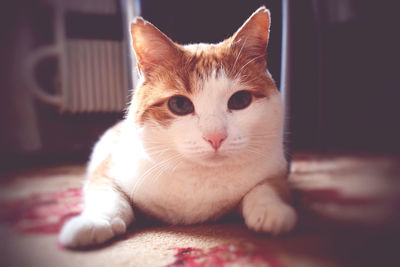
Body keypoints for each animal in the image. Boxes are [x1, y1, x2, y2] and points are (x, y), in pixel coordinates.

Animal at [59, 6, 296, 249]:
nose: (215, 137)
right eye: (180, 105)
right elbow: (106, 195)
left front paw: (271, 210)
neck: (199, 177)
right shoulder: (107, 169)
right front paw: (94, 221)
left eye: (240, 100)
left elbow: (266, 187)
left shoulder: (276, 170)